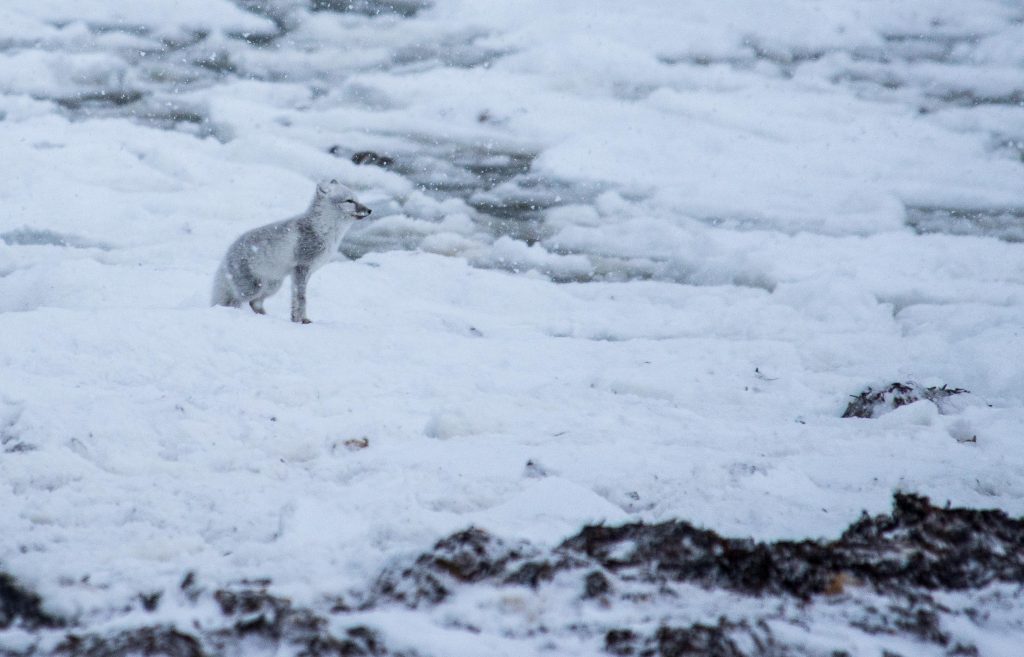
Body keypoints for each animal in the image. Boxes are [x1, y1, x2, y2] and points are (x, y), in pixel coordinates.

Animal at [209, 179, 370, 323]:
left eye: (357, 199)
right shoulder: (301, 267)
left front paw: (295, 319)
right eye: (349, 201)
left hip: (272, 286)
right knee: (233, 302)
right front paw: (303, 320)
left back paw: (268, 317)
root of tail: (228, 252)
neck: (323, 231)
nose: (369, 210)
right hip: (252, 289)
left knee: (254, 303)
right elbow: (302, 298)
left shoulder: (304, 272)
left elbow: (295, 299)